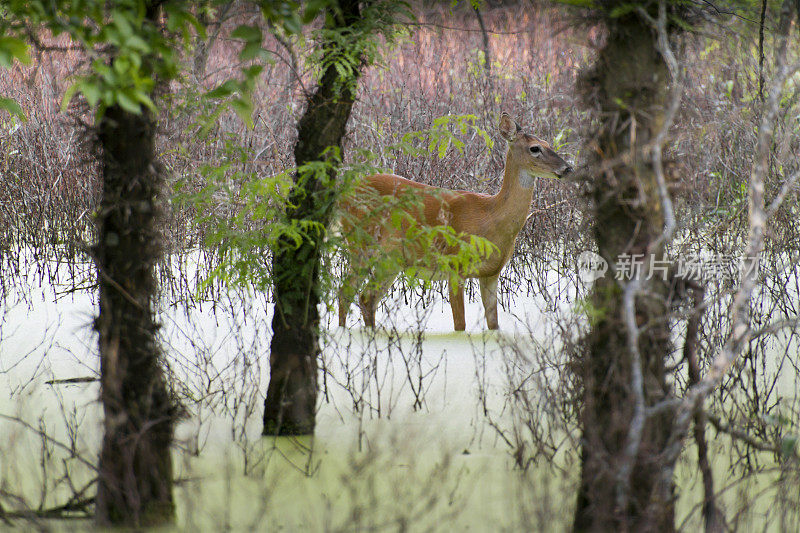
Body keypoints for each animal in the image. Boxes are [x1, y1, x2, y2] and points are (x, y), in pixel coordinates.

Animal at [336, 111, 568, 328]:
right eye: (535, 148)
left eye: (548, 143)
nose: (567, 168)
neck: (491, 218)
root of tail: (344, 194)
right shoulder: (455, 266)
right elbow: (460, 325)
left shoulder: (491, 274)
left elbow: (493, 324)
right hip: (365, 248)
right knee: (352, 292)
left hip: (391, 259)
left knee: (361, 297)